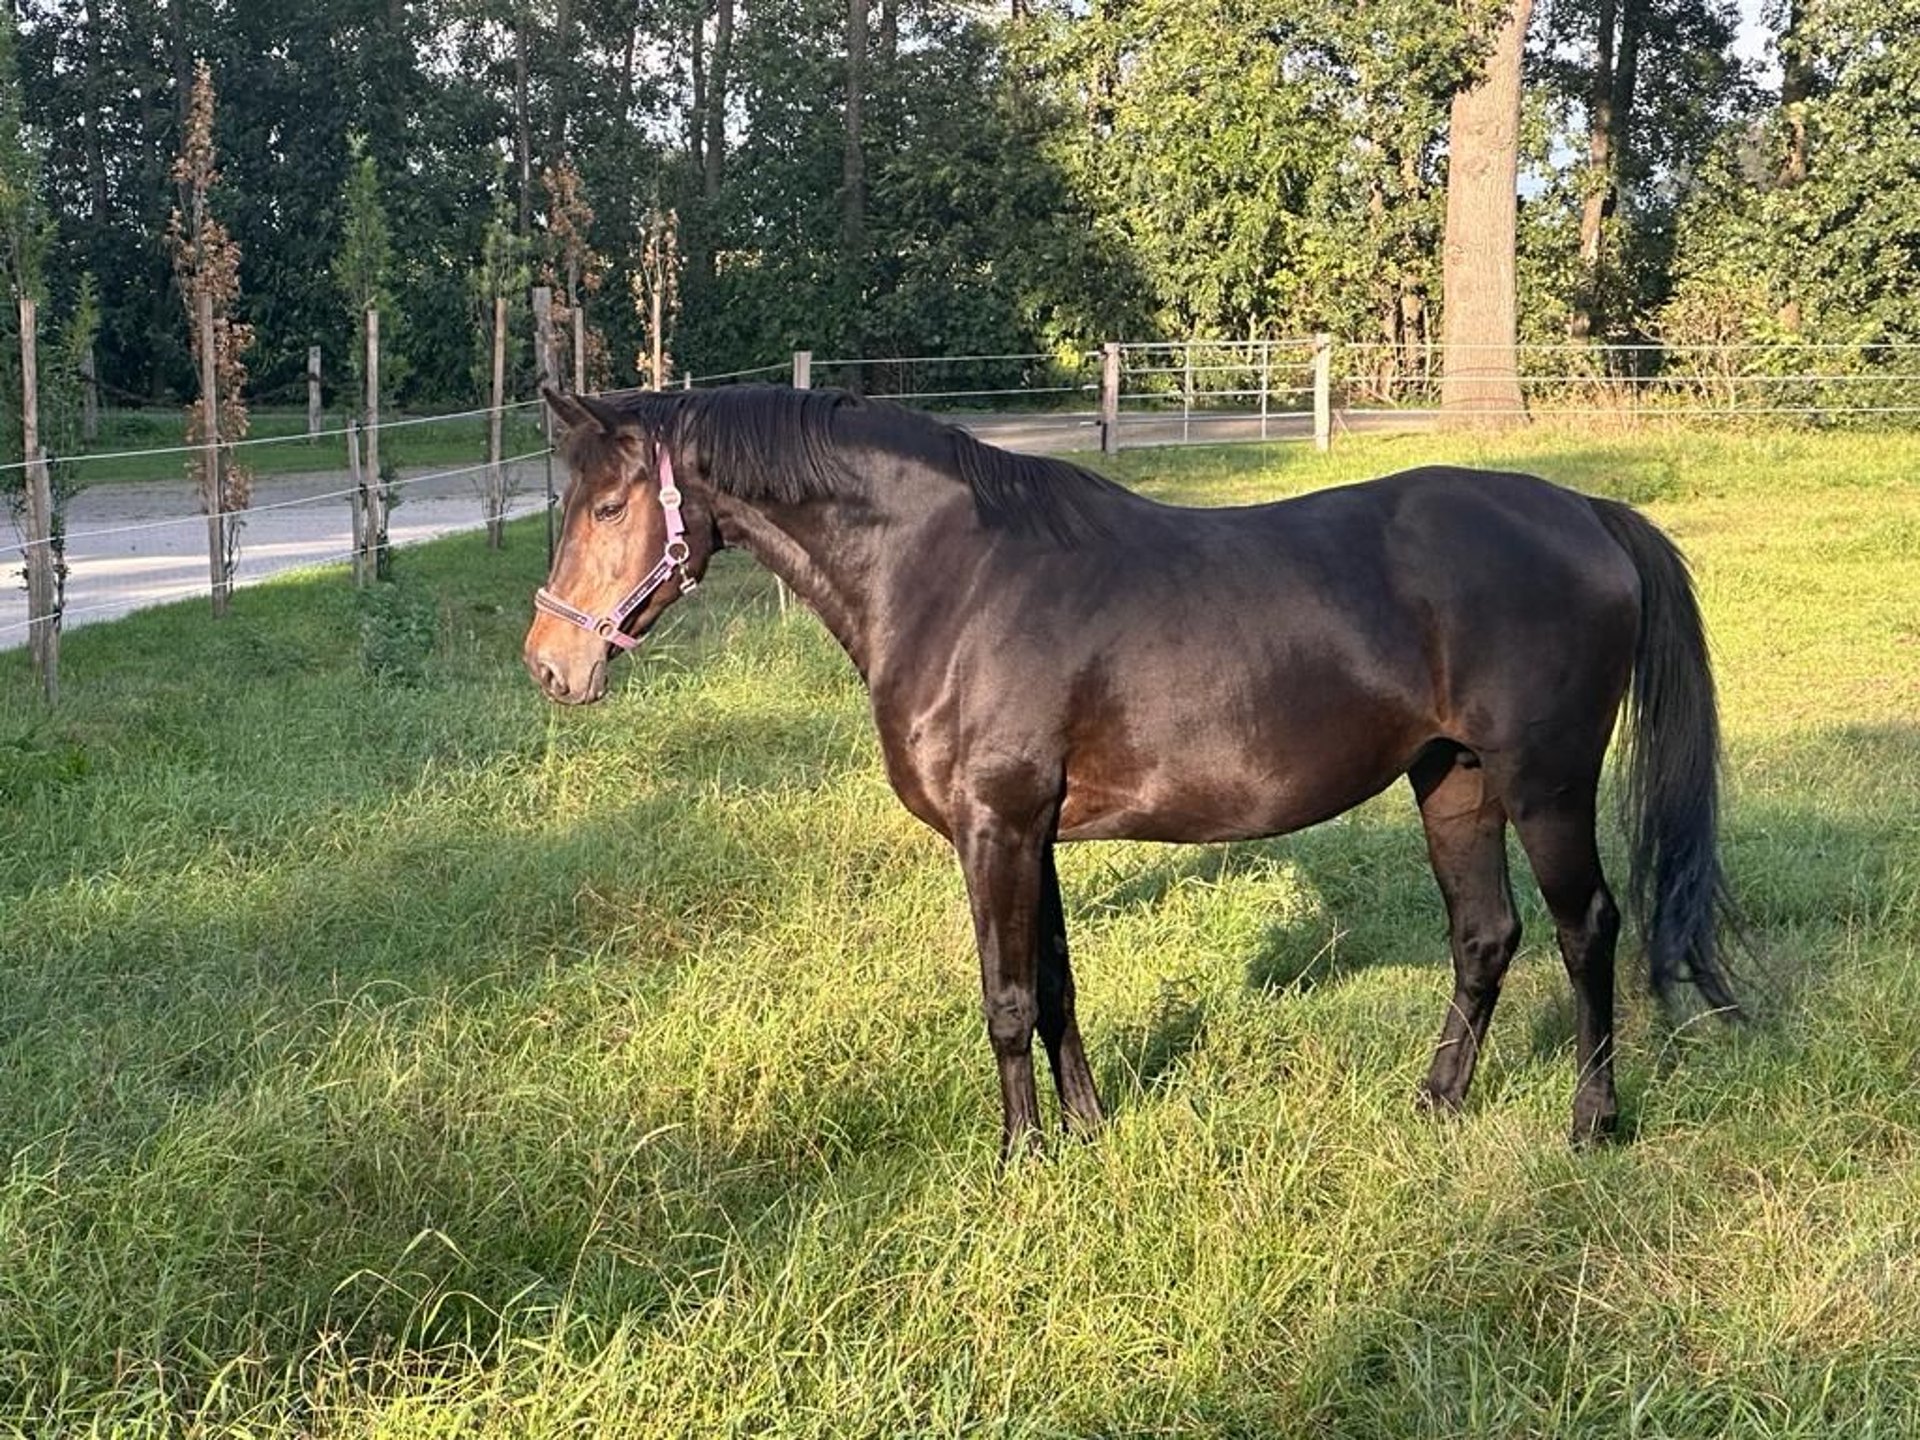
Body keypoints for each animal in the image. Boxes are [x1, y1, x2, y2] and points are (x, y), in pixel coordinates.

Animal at [523, 384, 1738, 1154]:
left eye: (612, 506)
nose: (549, 663)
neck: (955, 578)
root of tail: (1586, 511)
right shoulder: (1032, 831)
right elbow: (1057, 986)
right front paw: (1088, 1130)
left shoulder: (996, 827)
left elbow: (1008, 997)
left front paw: (1020, 1158)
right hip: (1454, 782)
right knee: (1485, 937)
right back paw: (1437, 1103)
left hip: (1546, 787)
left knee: (1588, 932)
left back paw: (1591, 1123)